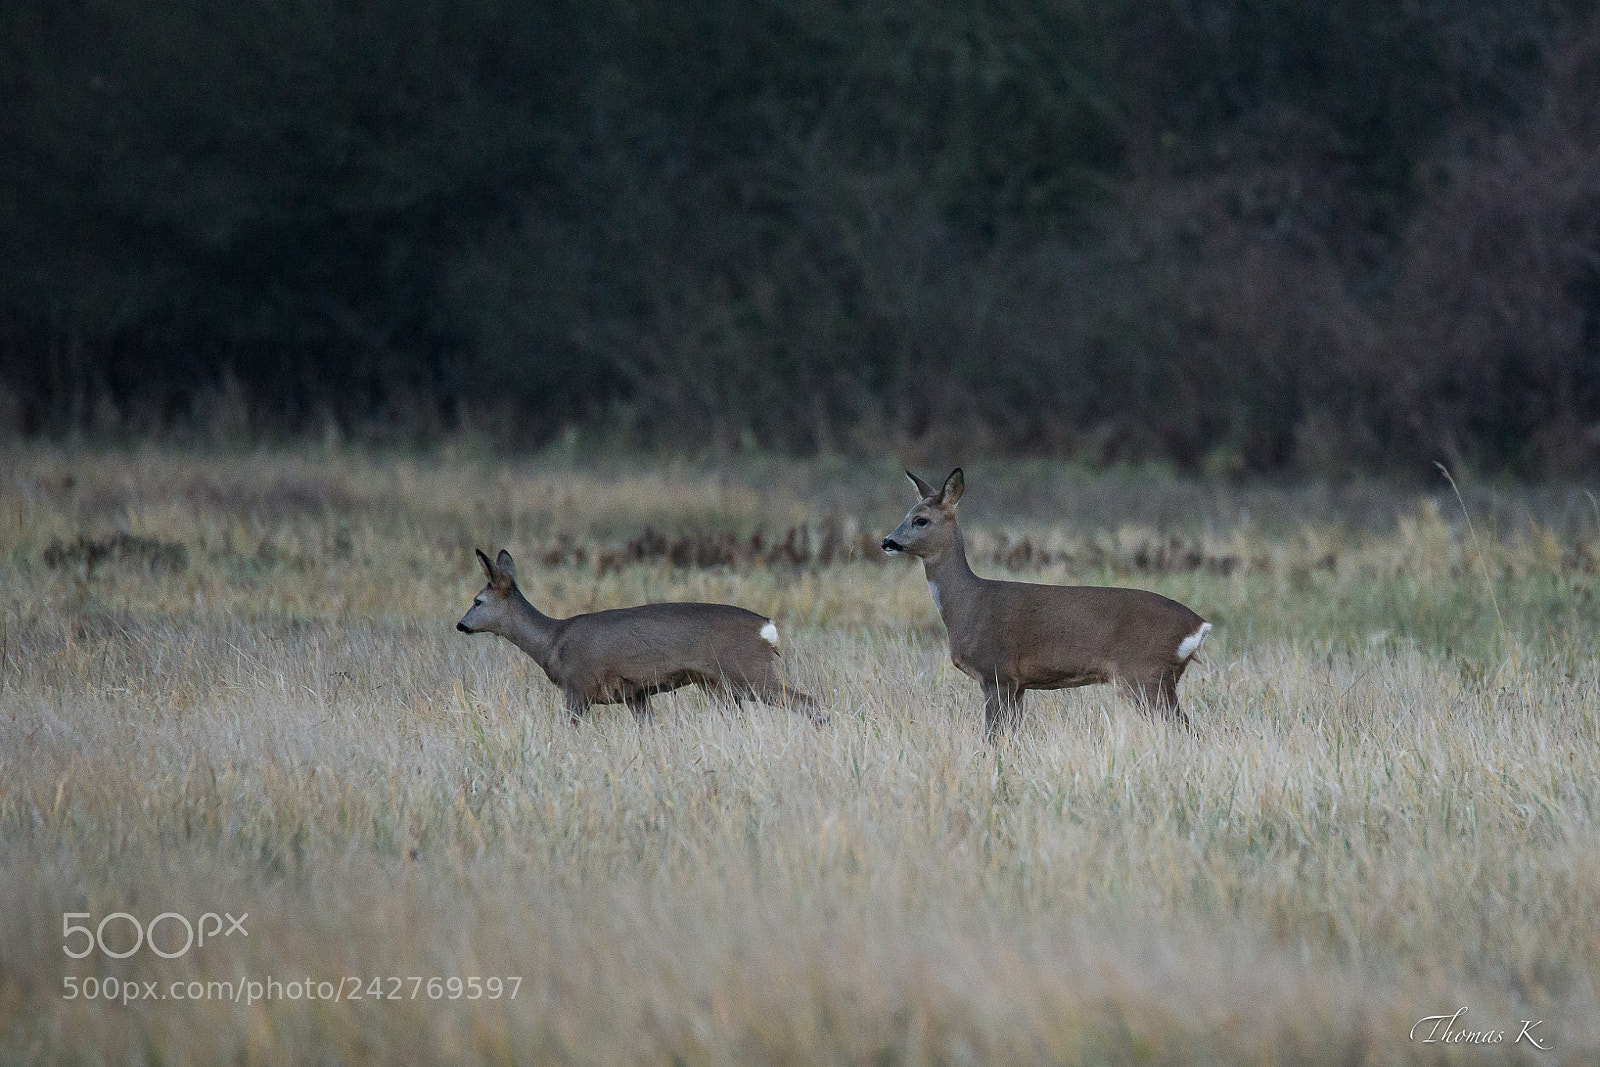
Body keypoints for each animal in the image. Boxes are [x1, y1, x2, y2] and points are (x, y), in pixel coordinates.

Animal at [456, 548, 823, 724]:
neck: (552, 642)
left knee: (810, 702)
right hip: (722, 686)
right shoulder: (635, 693)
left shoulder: (579, 685)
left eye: (477, 601)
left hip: (748, 671)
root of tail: (767, 627)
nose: (461, 625)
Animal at [881, 469, 1210, 737]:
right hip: (1158, 678)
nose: (887, 542)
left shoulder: (996, 672)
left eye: (920, 520)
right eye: (906, 514)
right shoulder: (1018, 685)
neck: (966, 604)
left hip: (1145, 673)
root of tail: (1199, 626)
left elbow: (992, 736)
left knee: (1186, 730)